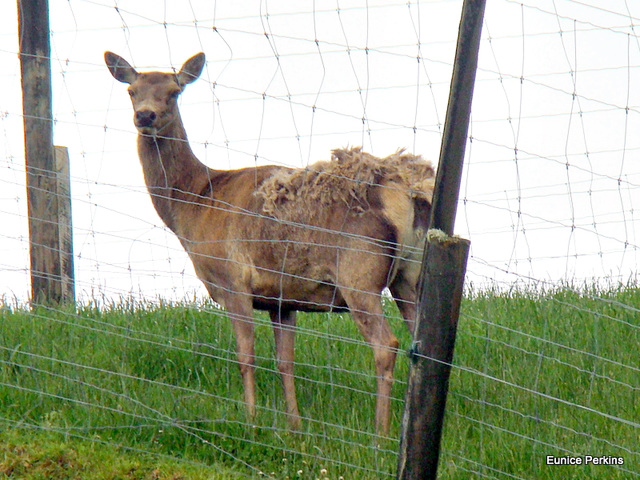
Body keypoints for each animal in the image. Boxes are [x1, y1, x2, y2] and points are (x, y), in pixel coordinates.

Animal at [105, 51, 438, 436]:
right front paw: (294, 425)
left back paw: (379, 433)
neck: (195, 203)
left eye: (174, 92)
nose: (145, 116)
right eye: (132, 91)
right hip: (409, 275)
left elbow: (246, 355)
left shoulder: (232, 279)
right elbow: (285, 361)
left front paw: (251, 420)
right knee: (421, 346)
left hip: (359, 269)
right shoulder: (282, 298)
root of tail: (409, 188)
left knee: (387, 345)